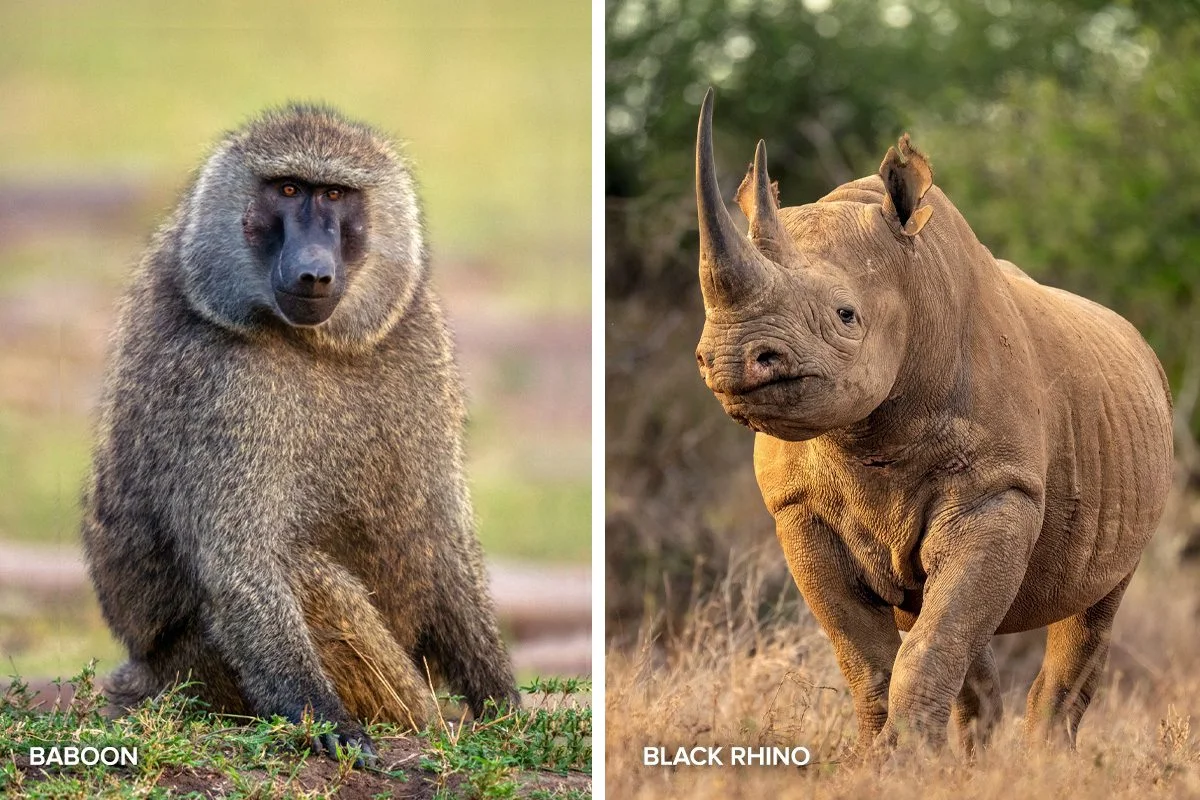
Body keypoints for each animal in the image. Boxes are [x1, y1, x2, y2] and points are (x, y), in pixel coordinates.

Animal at [80, 104, 521, 763]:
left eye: (334, 194)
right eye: (288, 190)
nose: (314, 271)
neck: (312, 342)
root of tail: (145, 674)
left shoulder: (419, 340)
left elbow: (444, 536)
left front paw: (504, 704)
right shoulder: (216, 380)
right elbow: (245, 565)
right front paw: (327, 721)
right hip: (197, 673)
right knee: (301, 572)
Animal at [691, 89, 1174, 754]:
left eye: (846, 316)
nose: (732, 357)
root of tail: (1141, 345)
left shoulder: (999, 489)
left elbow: (933, 642)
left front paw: (903, 761)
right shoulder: (799, 509)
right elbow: (868, 657)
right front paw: (881, 759)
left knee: (1094, 606)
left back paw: (1044, 761)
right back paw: (974, 761)